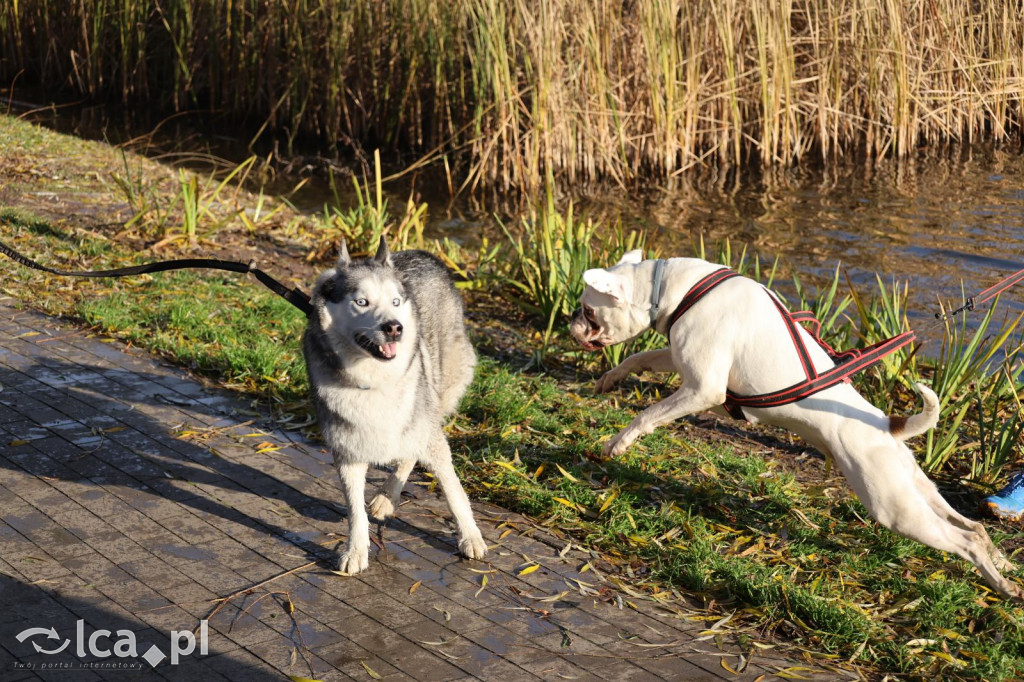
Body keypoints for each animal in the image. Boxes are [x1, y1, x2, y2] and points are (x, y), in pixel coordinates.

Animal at [573, 249, 1019, 593]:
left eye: (588, 310)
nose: (572, 325)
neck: (668, 288)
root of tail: (887, 426)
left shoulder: (703, 388)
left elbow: (647, 414)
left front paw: (618, 443)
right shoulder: (681, 362)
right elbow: (639, 357)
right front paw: (610, 379)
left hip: (895, 510)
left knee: (963, 541)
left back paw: (1001, 584)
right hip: (914, 491)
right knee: (971, 527)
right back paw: (1003, 564)